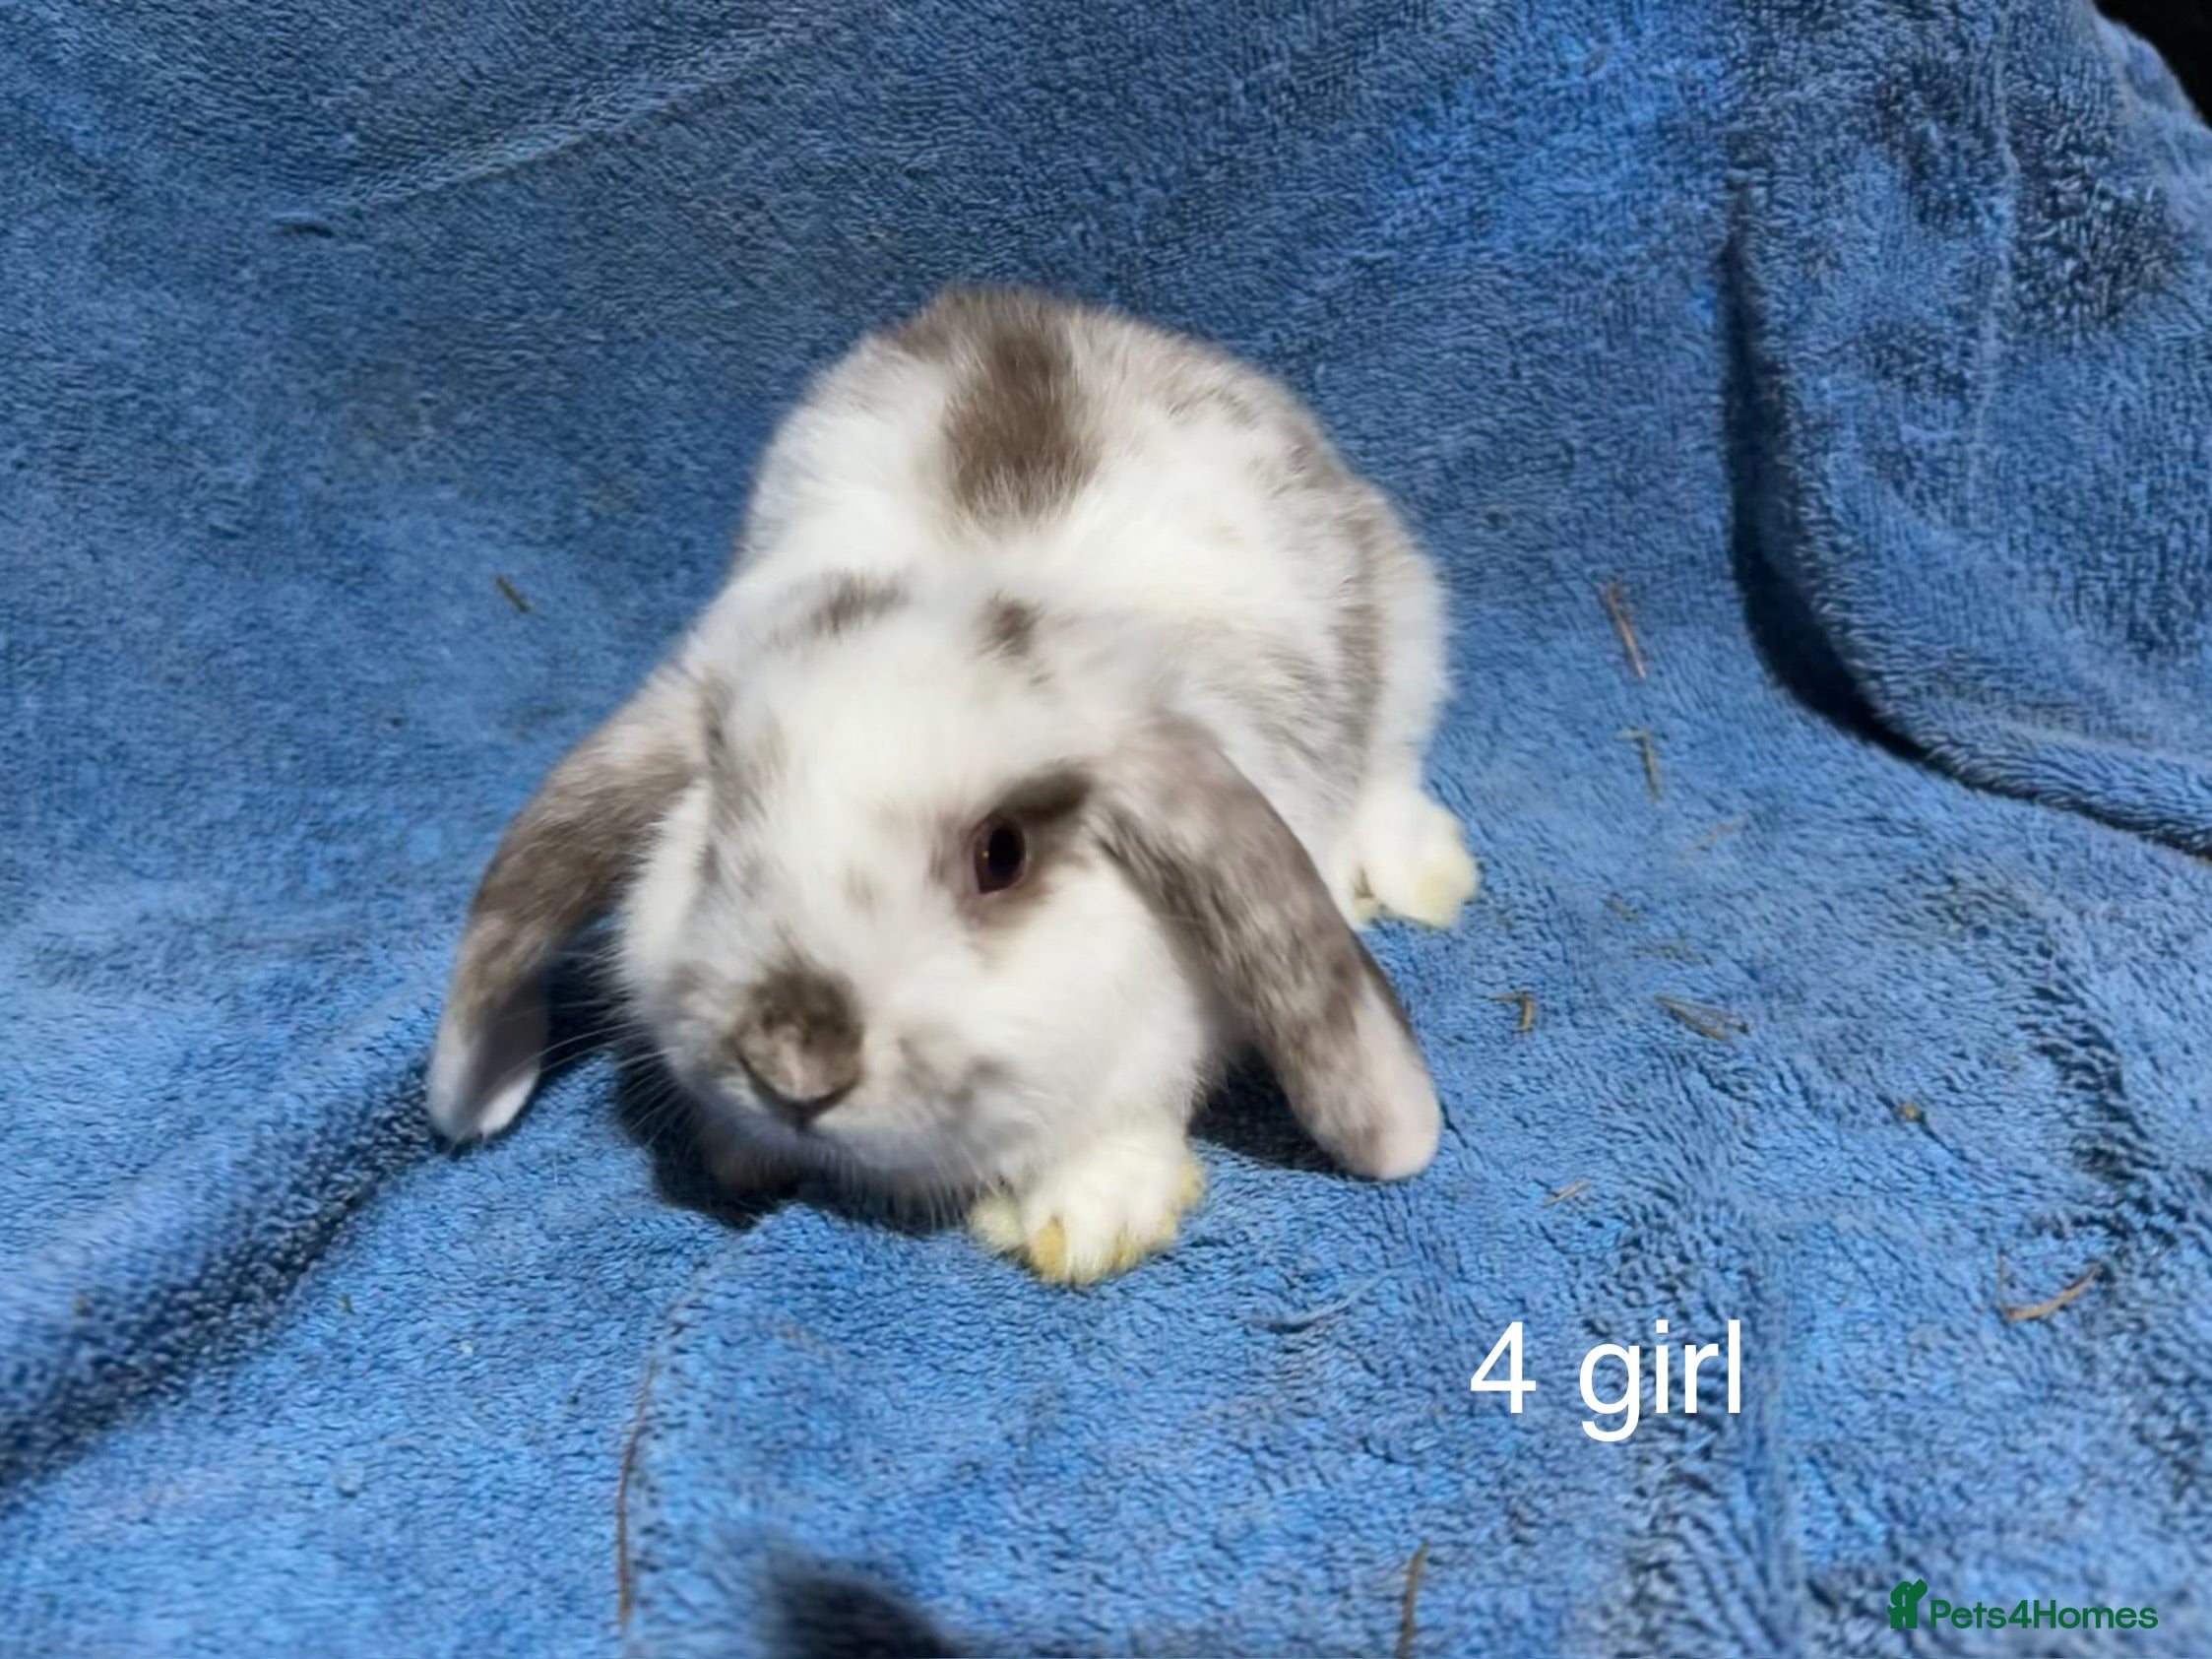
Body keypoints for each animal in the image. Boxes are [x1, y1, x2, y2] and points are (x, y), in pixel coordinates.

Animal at [426, 286, 1479, 1283]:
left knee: (1388, 758)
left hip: (1413, 617)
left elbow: (1129, 1111)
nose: (792, 1066)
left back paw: (1415, 875)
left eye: (1000, 855)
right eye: (716, 834)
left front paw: (1088, 1223)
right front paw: (738, 1150)